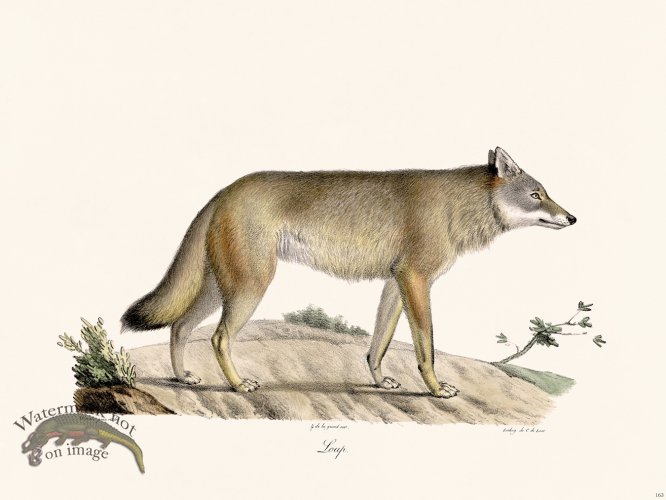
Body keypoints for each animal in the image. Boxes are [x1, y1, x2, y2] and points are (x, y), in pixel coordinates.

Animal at [121, 147, 576, 398]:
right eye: (537, 194)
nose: (572, 218)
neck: (456, 205)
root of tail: (223, 192)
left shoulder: (396, 284)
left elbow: (377, 346)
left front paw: (380, 382)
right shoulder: (416, 282)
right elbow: (425, 349)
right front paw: (435, 390)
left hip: (222, 289)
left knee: (180, 327)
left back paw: (183, 378)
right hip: (249, 288)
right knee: (216, 338)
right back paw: (237, 385)